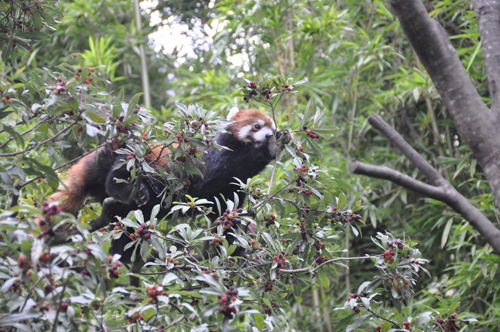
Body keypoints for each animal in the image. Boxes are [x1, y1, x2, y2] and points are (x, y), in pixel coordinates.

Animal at [38, 107, 286, 260]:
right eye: (257, 127)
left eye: (270, 127)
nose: (270, 135)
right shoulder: (213, 160)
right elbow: (217, 173)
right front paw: (272, 147)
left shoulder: (230, 193)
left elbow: (227, 216)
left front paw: (233, 249)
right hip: (130, 157)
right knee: (118, 175)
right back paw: (126, 191)